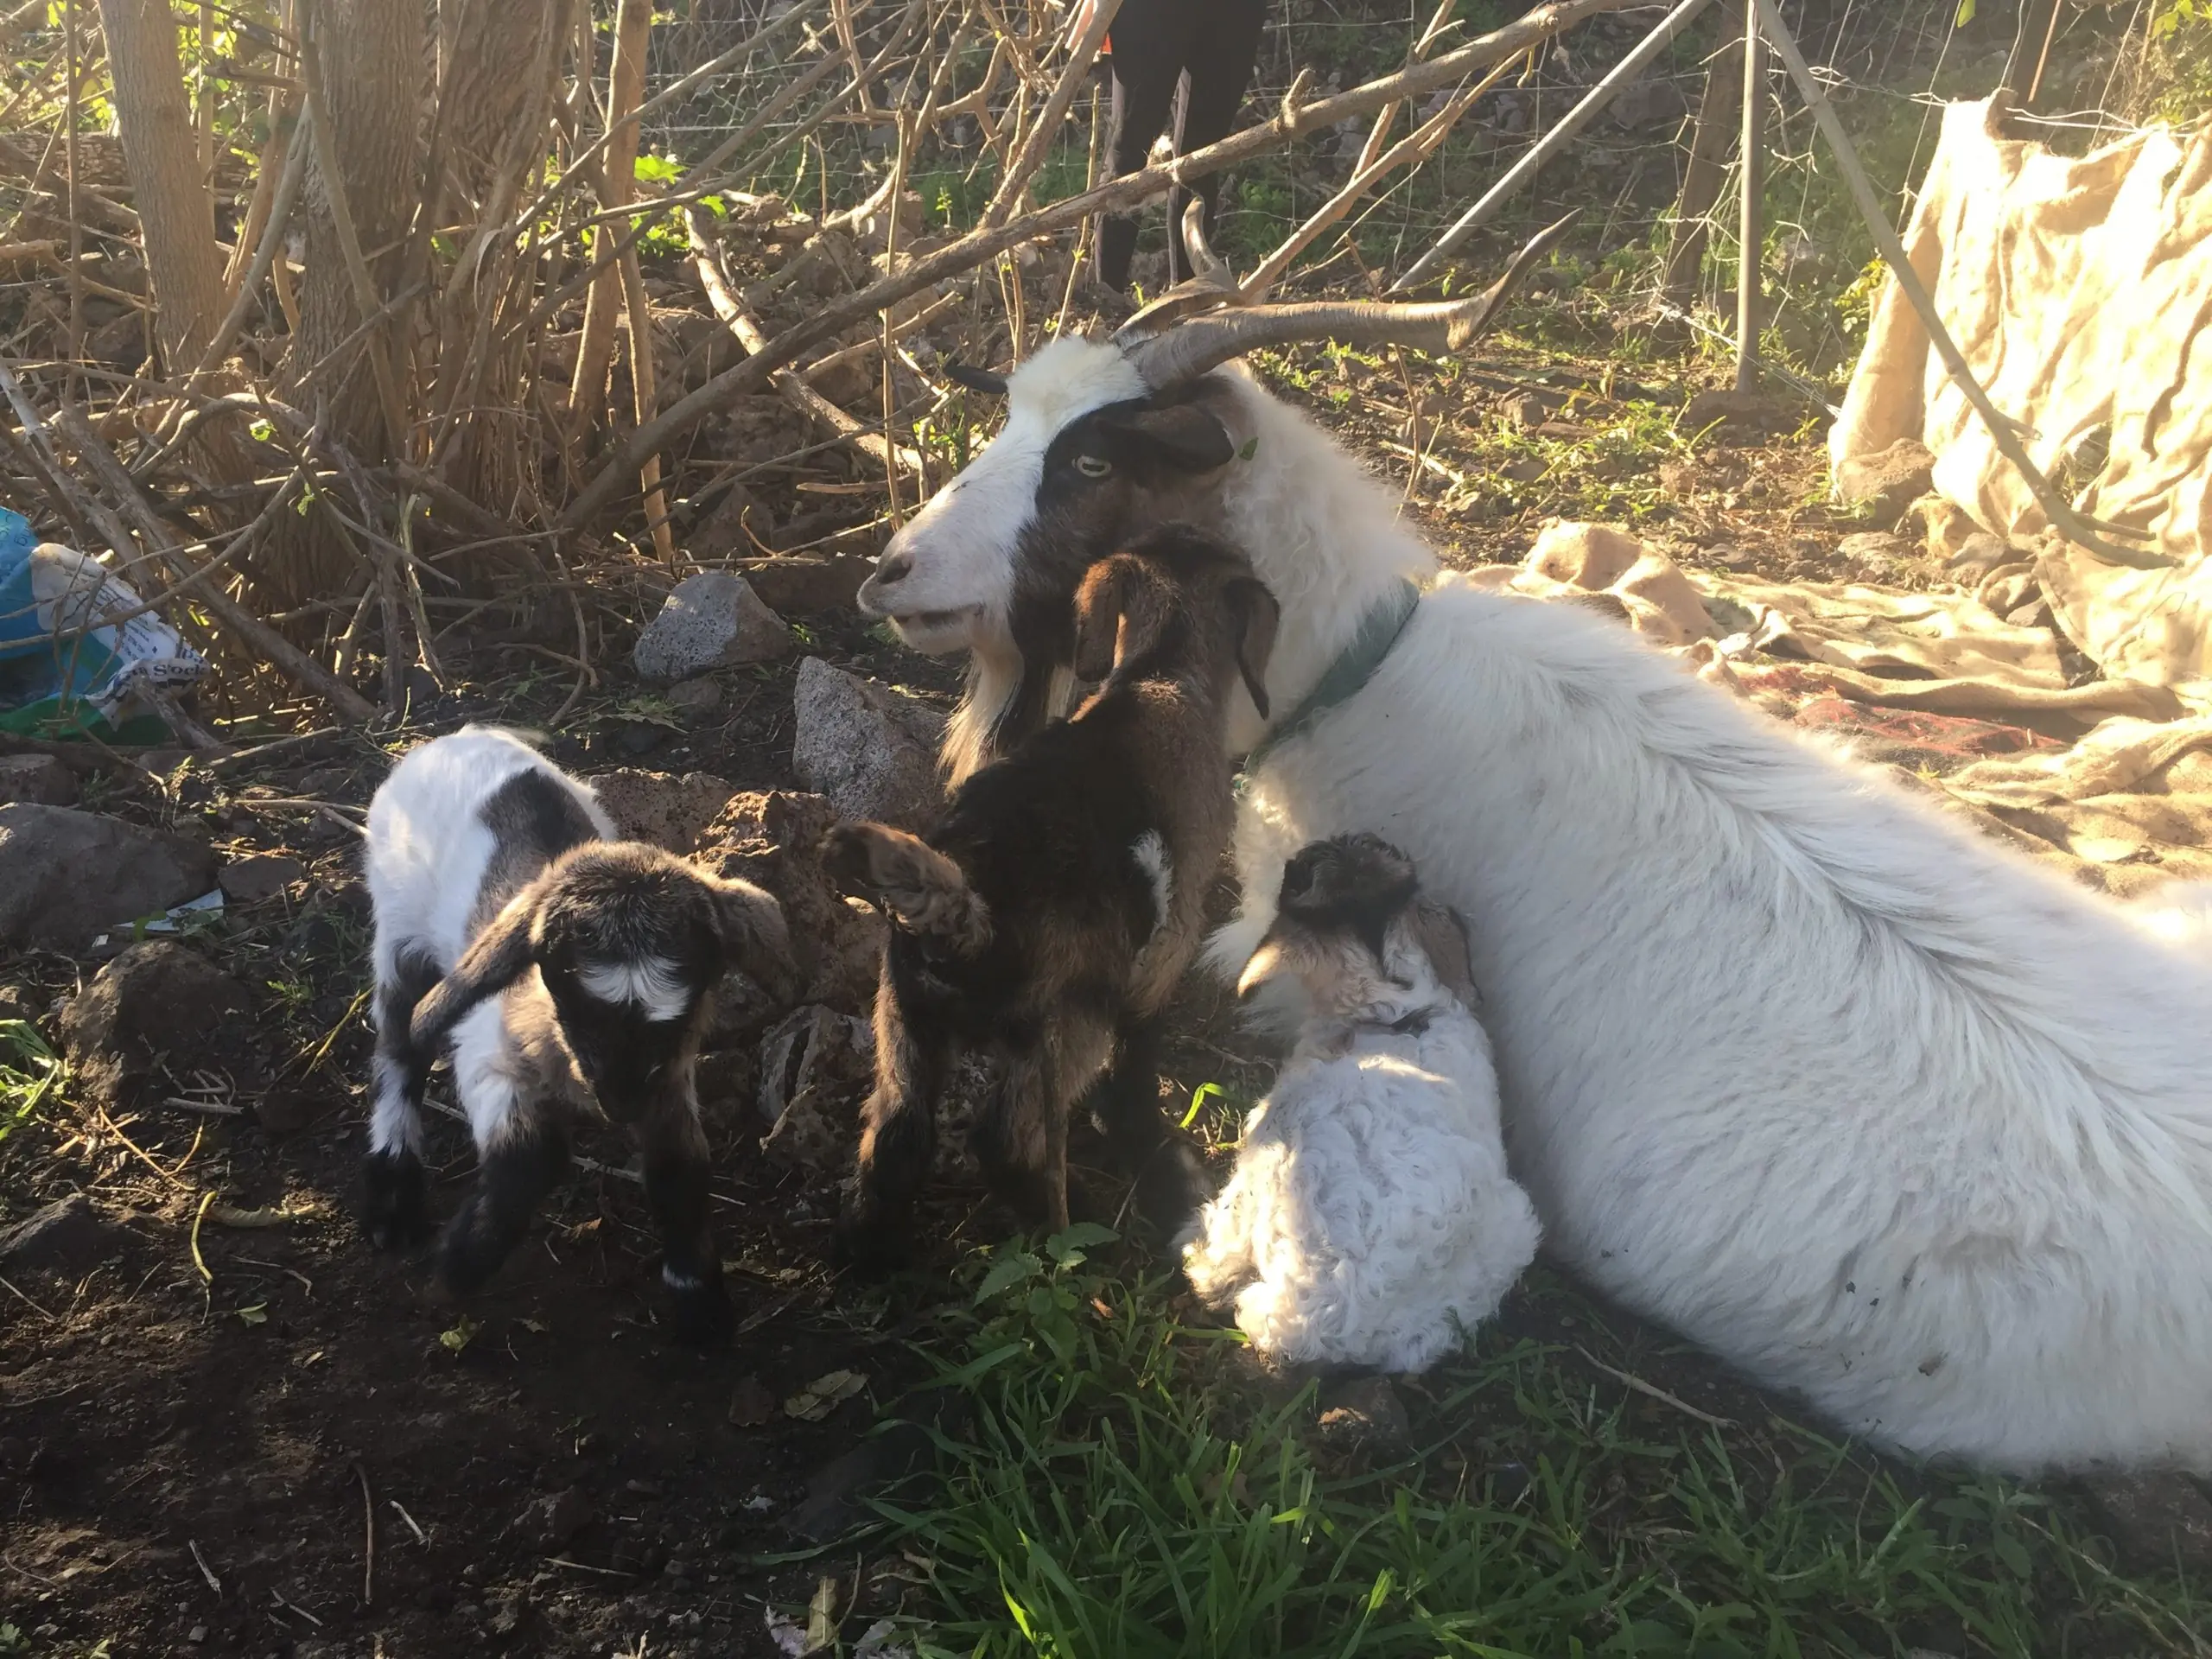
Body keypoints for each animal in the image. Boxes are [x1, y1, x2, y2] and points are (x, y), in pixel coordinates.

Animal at [363, 725, 791, 1344]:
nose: (620, 1103)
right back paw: (392, 1191)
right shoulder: (489, 1056)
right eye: (571, 995)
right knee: (398, 1048)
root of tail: (458, 736)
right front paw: (456, 1271)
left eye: (687, 1005)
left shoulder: (670, 1079)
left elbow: (679, 1166)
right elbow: (533, 1156)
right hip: (397, 930)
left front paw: (699, 1299)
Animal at [821, 526, 1277, 1267]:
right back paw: (1080, 1239)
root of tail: (967, 916)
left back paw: (865, 1254)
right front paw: (1141, 1130)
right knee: (1007, 1141)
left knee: (897, 1133)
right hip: (1066, 1020)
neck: (1159, 675)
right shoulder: (1169, 942)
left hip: (904, 1021)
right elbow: (1139, 1050)